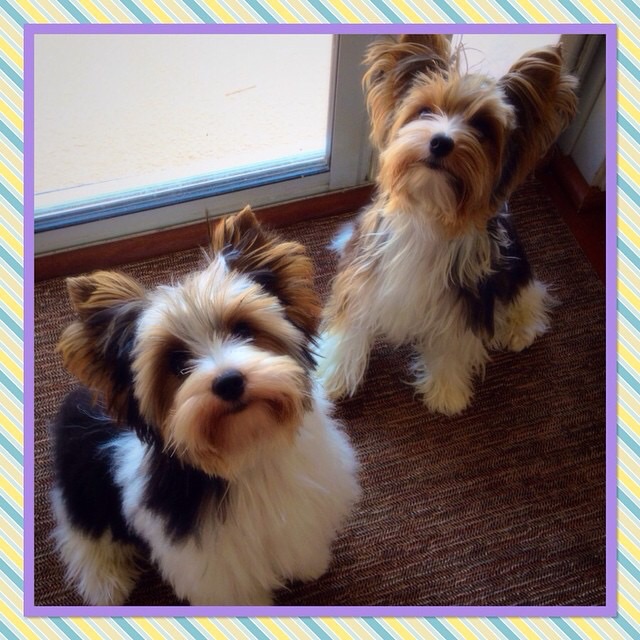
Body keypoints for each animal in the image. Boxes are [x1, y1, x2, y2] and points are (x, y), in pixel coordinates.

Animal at [50, 206, 360, 606]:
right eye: (176, 361)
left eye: (243, 330)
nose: (229, 382)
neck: (247, 450)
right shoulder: (214, 567)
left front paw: (310, 566)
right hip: (85, 483)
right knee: (84, 531)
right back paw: (106, 583)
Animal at [317, 35, 578, 415]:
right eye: (425, 111)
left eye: (483, 128)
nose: (441, 141)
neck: (430, 212)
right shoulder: (364, 276)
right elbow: (350, 324)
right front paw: (333, 376)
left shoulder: (467, 297)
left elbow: (454, 344)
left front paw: (447, 392)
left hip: (513, 265)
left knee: (528, 292)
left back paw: (519, 328)